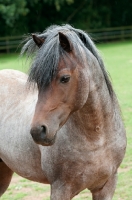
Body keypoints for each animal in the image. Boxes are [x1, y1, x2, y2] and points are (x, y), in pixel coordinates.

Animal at [0, 25, 127, 200]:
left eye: (65, 78)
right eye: (38, 81)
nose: (38, 131)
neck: (98, 140)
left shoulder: (106, 187)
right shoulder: (60, 189)